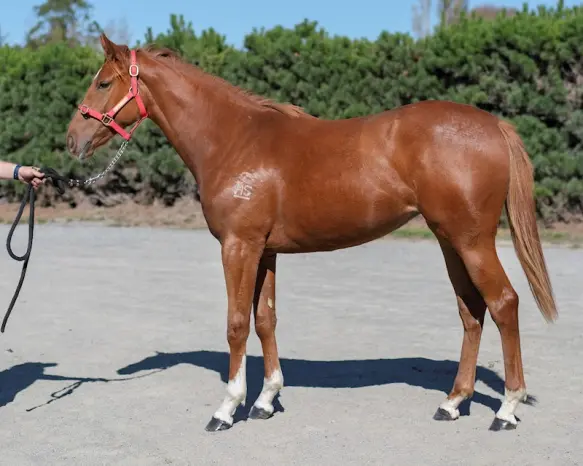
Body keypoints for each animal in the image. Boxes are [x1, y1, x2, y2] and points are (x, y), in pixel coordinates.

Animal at [65, 33, 558, 433]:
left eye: (103, 83)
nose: (72, 140)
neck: (233, 139)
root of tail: (494, 125)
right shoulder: (264, 252)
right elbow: (265, 319)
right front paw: (265, 400)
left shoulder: (238, 247)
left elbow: (237, 324)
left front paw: (227, 408)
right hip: (449, 241)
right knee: (472, 312)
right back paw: (453, 403)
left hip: (472, 242)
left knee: (504, 304)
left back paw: (506, 409)